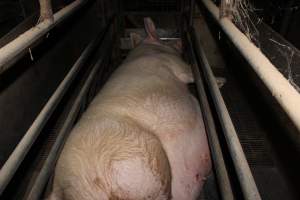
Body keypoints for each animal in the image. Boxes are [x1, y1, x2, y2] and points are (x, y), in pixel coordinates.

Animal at [47, 17, 211, 200]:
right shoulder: (174, 63)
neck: (151, 48)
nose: (181, 41)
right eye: (164, 39)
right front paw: (219, 80)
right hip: (142, 163)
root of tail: (60, 187)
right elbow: (189, 73)